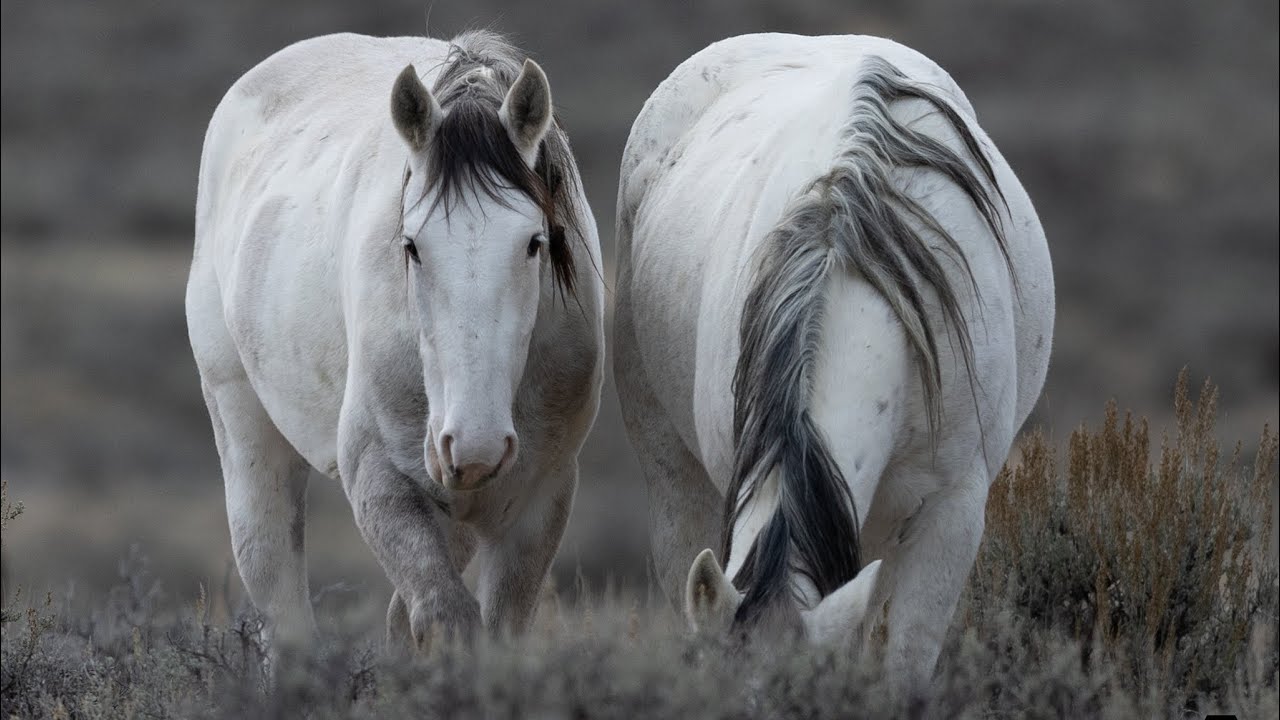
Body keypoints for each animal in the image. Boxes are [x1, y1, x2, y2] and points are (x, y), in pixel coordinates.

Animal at [186, 30, 604, 654]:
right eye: (411, 245)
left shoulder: (540, 498)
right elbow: (444, 616)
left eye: (535, 242)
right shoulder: (378, 475)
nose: (474, 445)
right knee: (277, 590)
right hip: (242, 423)